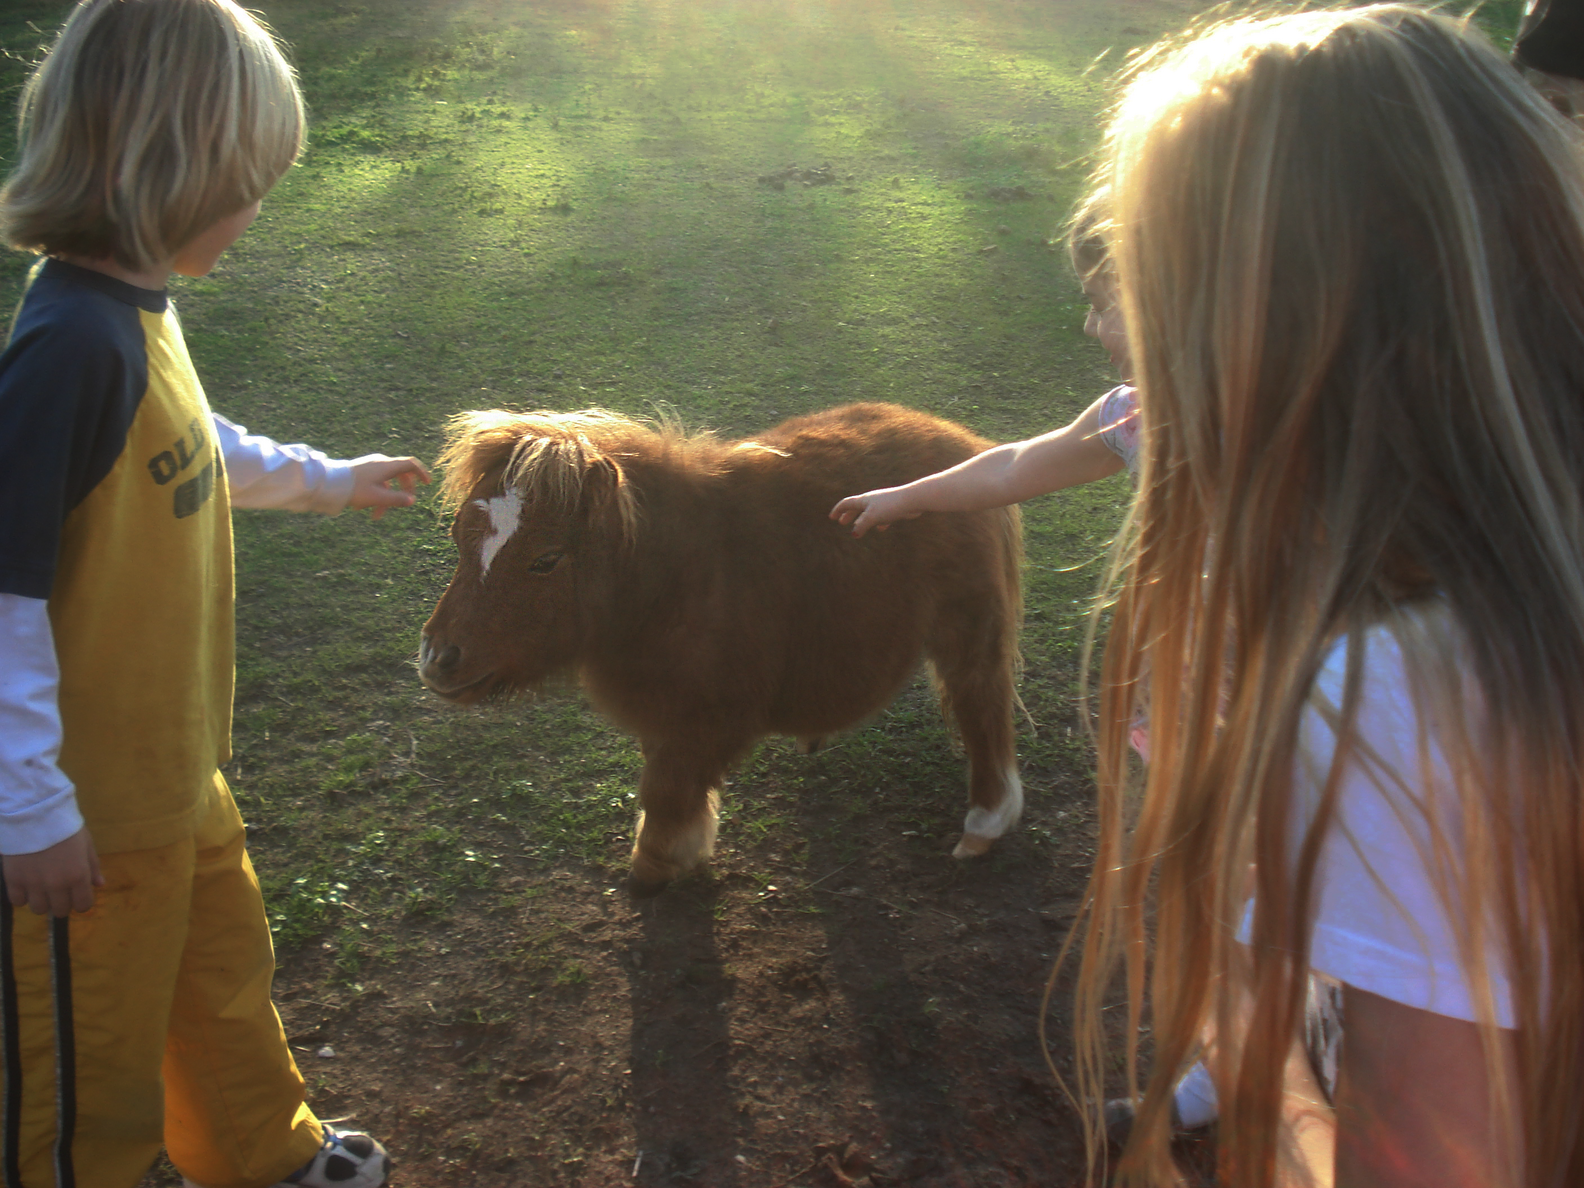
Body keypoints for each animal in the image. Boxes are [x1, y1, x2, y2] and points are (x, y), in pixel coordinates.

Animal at [418, 403, 1023, 895]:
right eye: (457, 534)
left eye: (545, 560)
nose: (438, 658)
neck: (679, 577)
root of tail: (964, 447)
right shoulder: (670, 717)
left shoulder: (704, 722)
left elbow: (666, 794)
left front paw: (653, 869)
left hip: (969, 634)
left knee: (982, 707)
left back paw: (985, 823)